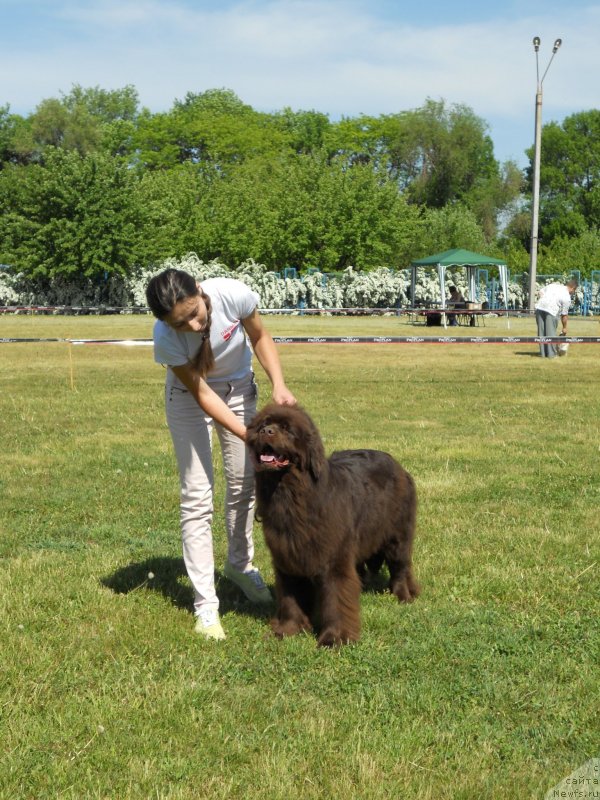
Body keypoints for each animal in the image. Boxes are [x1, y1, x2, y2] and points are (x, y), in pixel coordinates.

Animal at [246, 404, 420, 648]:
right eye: (263, 424)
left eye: (287, 429)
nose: (266, 432)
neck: (291, 494)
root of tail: (399, 467)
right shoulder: (287, 558)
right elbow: (290, 596)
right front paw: (287, 630)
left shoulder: (334, 558)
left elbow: (337, 596)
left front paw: (334, 639)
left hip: (398, 535)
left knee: (400, 566)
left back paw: (403, 595)